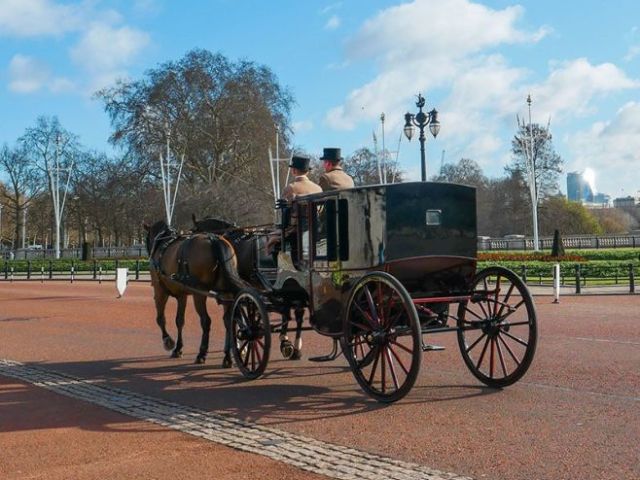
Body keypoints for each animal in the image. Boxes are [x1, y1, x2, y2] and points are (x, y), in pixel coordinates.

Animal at [144, 220, 245, 364]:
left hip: (199, 293)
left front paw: (168, 341)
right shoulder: (182, 295)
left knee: (206, 321)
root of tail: (213, 239)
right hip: (225, 292)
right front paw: (178, 348)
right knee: (227, 320)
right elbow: (179, 320)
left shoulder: (159, 291)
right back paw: (227, 356)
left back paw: (202, 353)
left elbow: (160, 319)